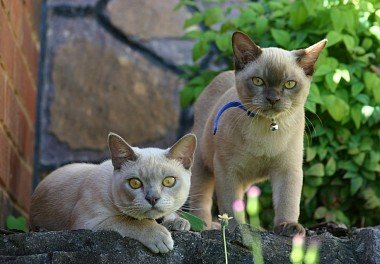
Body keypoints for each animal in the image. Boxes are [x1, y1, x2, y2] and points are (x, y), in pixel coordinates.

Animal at [30, 133, 196, 253]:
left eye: (169, 181)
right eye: (135, 183)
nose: (153, 198)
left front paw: (180, 223)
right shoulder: (88, 223)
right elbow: (127, 221)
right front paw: (160, 237)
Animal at [190, 32, 326, 236]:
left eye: (289, 84)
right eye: (258, 81)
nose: (273, 99)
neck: (266, 129)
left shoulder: (288, 169)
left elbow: (288, 201)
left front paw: (288, 227)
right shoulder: (227, 170)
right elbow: (231, 206)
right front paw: (237, 230)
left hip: (245, 180)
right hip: (202, 165)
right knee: (201, 199)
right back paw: (204, 226)